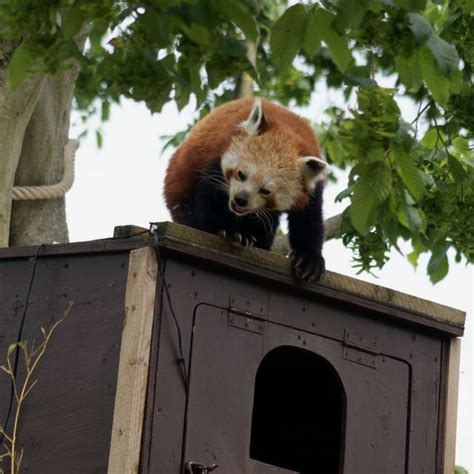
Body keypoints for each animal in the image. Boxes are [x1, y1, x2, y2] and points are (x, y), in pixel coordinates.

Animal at [164, 96, 330, 282]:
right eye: (241, 174)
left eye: (265, 190)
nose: (240, 199)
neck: (287, 132)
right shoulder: (218, 157)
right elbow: (210, 202)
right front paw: (228, 231)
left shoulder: (310, 191)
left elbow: (309, 221)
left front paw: (309, 260)